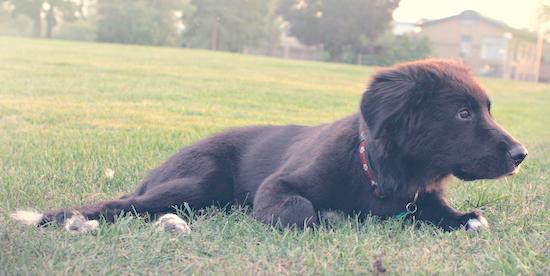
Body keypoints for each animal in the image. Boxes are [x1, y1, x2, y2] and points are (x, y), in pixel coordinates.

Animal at [11, 59, 532, 232]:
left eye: (487, 109)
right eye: (463, 114)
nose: (521, 155)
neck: (376, 175)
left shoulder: (420, 200)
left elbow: (458, 216)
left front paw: (464, 219)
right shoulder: (278, 186)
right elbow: (301, 210)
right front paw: (325, 218)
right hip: (200, 178)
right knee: (118, 205)